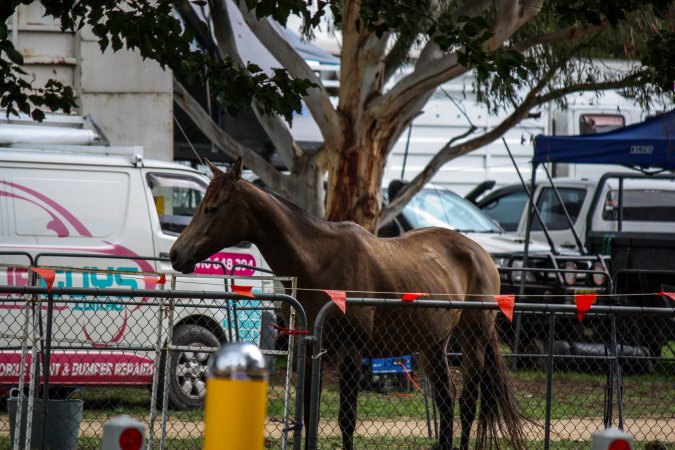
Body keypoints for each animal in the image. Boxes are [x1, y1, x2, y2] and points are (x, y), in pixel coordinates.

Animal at [170, 158, 525, 450]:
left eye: (213, 208)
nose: (176, 254)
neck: (318, 261)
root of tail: (481, 254)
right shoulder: (309, 351)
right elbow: (308, 417)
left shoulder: (350, 351)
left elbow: (346, 420)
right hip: (433, 345)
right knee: (446, 400)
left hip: (473, 341)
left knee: (466, 405)